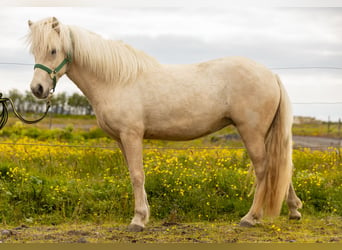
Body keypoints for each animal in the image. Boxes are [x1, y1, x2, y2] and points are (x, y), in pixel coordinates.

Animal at [26, 17, 300, 232]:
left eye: (53, 50)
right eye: (34, 52)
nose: (37, 89)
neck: (116, 80)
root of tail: (271, 74)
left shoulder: (132, 135)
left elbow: (137, 175)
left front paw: (137, 220)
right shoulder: (121, 139)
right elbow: (134, 174)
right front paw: (144, 214)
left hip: (251, 131)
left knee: (264, 169)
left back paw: (251, 218)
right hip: (265, 134)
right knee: (280, 167)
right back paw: (294, 210)